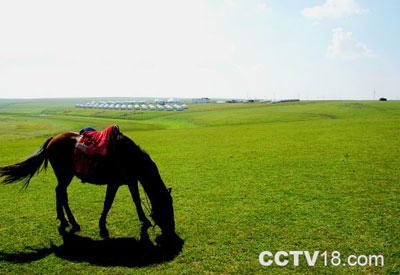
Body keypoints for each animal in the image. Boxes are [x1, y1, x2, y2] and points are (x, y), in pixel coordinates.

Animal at [0, 126, 175, 239]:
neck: (128, 156)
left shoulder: (131, 181)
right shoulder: (114, 183)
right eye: (166, 206)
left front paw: (144, 220)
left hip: (64, 176)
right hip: (65, 175)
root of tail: (52, 139)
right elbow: (108, 203)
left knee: (58, 192)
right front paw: (102, 224)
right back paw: (72, 221)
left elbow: (136, 200)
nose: (171, 231)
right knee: (62, 193)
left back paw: (63, 219)